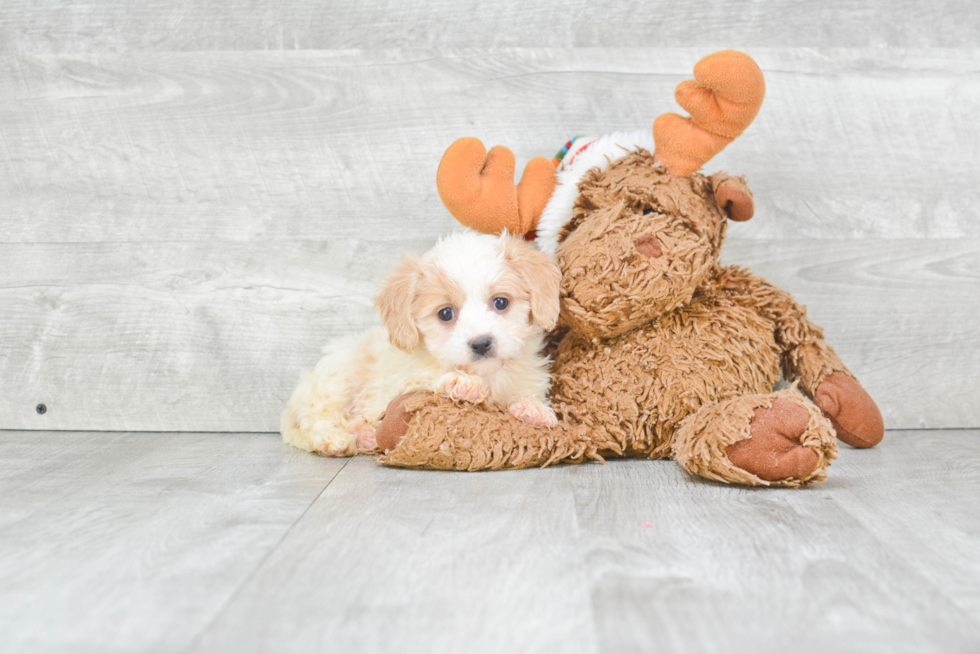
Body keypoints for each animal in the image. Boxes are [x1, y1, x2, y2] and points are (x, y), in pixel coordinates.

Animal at [280, 233, 564, 458]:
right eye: (445, 314)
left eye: (501, 303)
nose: (481, 343)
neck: (487, 374)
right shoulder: (398, 379)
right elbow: (426, 373)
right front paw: (459, 382)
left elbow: (524, 393)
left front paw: (532, 408)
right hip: (337, 378)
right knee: (315, 420)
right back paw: (335, 439)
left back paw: (363, 435)